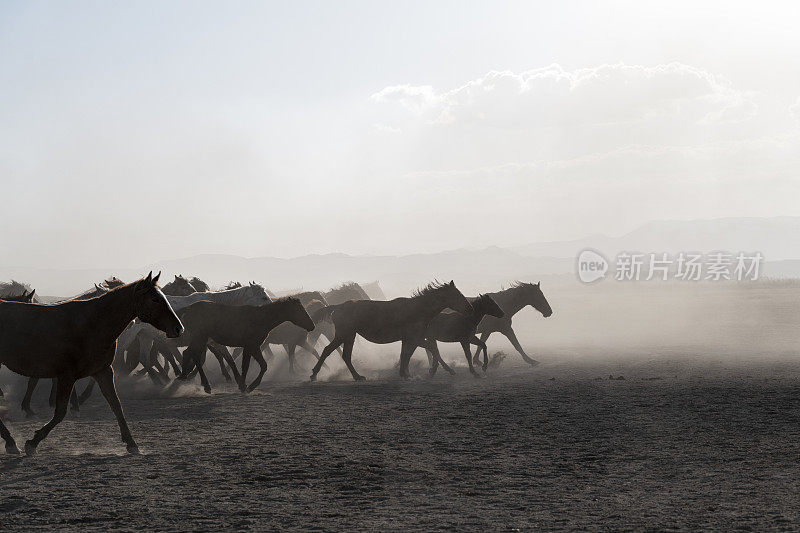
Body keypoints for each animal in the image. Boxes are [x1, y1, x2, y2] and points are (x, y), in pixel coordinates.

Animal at [0, 274, 182, 454]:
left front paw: (131, 443)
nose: (178, 328)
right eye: (155, 299)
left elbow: (116, 405)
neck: (92, 323)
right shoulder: (67, 375)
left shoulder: (103, 371)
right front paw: (33, 442)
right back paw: (11, 441)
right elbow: (60, 412)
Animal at [177, 298, 314, 392]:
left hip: (201, 340)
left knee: (189, 353)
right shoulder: (253, 346)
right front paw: (250, 386)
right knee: (193, 354)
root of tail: (187, 311)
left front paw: (243, 385)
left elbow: (247, 365)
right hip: (200, 338)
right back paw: (205, 385)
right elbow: (261, 366)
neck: (261, 319)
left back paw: (183, 376)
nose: (312, 326)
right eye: (300, 310)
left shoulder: (249, 347)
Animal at [308, 280, 472, 380]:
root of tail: (337, 307)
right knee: (330, 351)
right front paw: (444, 370)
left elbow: (408, 354)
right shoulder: (414, 338)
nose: (470, 308)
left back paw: (356, 376)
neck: (417, 309)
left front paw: (405, 373)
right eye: (457, 295)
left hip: (349, 335)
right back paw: (316, 374)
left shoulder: (412, 339)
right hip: (344, 334)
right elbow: (428, 350)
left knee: (343, 355)